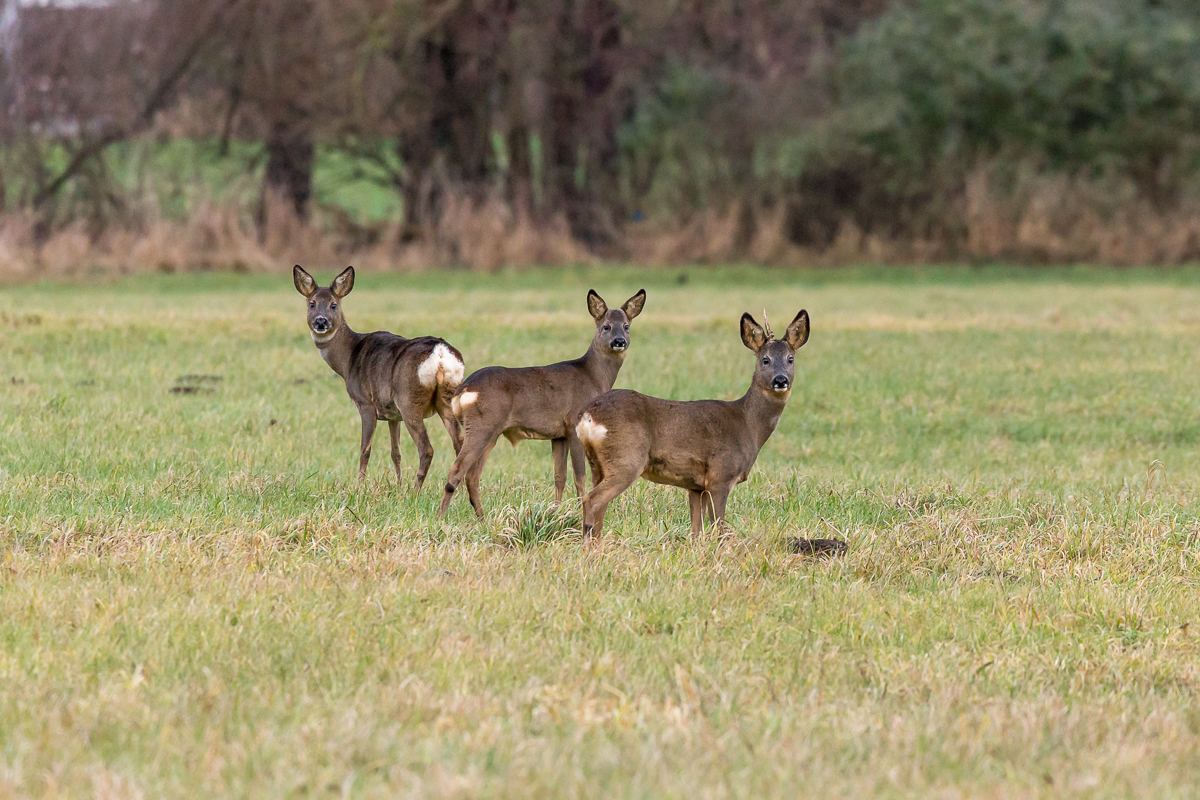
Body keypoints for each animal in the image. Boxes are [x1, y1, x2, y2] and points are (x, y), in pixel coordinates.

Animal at [292, 266, 465, 489]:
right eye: (312, 303)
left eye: (334, 304)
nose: (321, 321)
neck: (348, 359)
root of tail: (440, 353)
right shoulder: (392, 414)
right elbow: (395, 452)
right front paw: (398, 485)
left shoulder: (366, 403)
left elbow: (364, 450)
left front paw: (359, 486)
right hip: (447, 398)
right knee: (461, 444)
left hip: (409, 400)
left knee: (426, 448)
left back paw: (416, 490)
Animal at [436, 287, 648, 520]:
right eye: (606, 326)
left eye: (626, 326)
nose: (619, 341)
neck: (593, 376)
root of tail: (463, 390)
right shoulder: (573, 424)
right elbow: (579, 476)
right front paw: (577, 512)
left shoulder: (558, 435)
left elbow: (559, 477)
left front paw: (556, 513)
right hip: (483, 425)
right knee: (457, 470)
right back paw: (441, 517)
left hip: (490, 432)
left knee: (472, 475)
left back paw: (482, 518)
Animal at [576, 307, 811, 537]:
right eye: (765, 359)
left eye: (790, 358)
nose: (780, 380)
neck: (748, 424)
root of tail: (588, 414)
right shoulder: (720, 476)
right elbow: (718, 527)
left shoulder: (696, 486)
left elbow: (696, 531)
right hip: (626, 458)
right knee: (592, 500)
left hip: (598, 464)